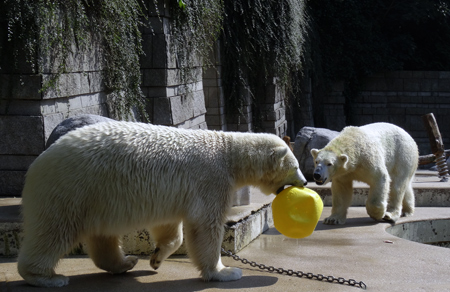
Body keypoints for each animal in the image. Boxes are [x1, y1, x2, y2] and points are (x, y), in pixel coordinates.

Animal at [16, 121, 306, 288]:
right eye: (295, 166)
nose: (304, 181)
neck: (228, 153)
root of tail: (38, 163)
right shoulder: (210, 180)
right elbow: (206, 225)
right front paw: (225, 272)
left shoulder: (175, 192)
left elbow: (170, 227)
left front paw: (156, 258)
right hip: (71, 189)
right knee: (54, 231)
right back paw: (46, 277)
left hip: (97, 197)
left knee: (102, 236)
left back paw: (126, 262)